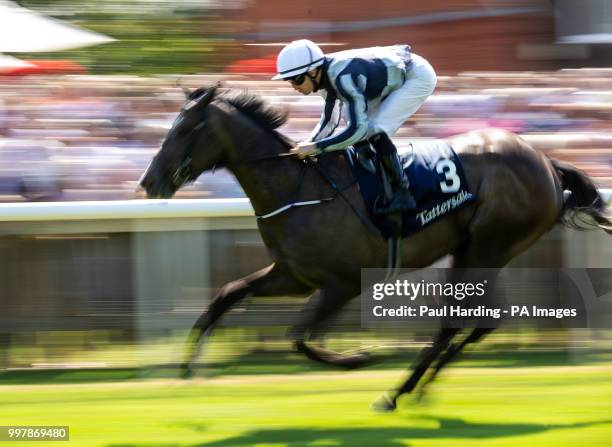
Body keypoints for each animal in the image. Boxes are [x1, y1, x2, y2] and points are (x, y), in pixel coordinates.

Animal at [139, 86, 612, 412]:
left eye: (185, 129)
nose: (148, 182)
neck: (299, 187)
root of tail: (548, 163)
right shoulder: (292, 275)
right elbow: (226, 294)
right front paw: (186, 368)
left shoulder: (342, 284)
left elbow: (299, 337)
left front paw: (359, 357)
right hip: (475, 251)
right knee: (482, 322)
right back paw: (422, 386)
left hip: (487, 248)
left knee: (455, 323)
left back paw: (398, 391)